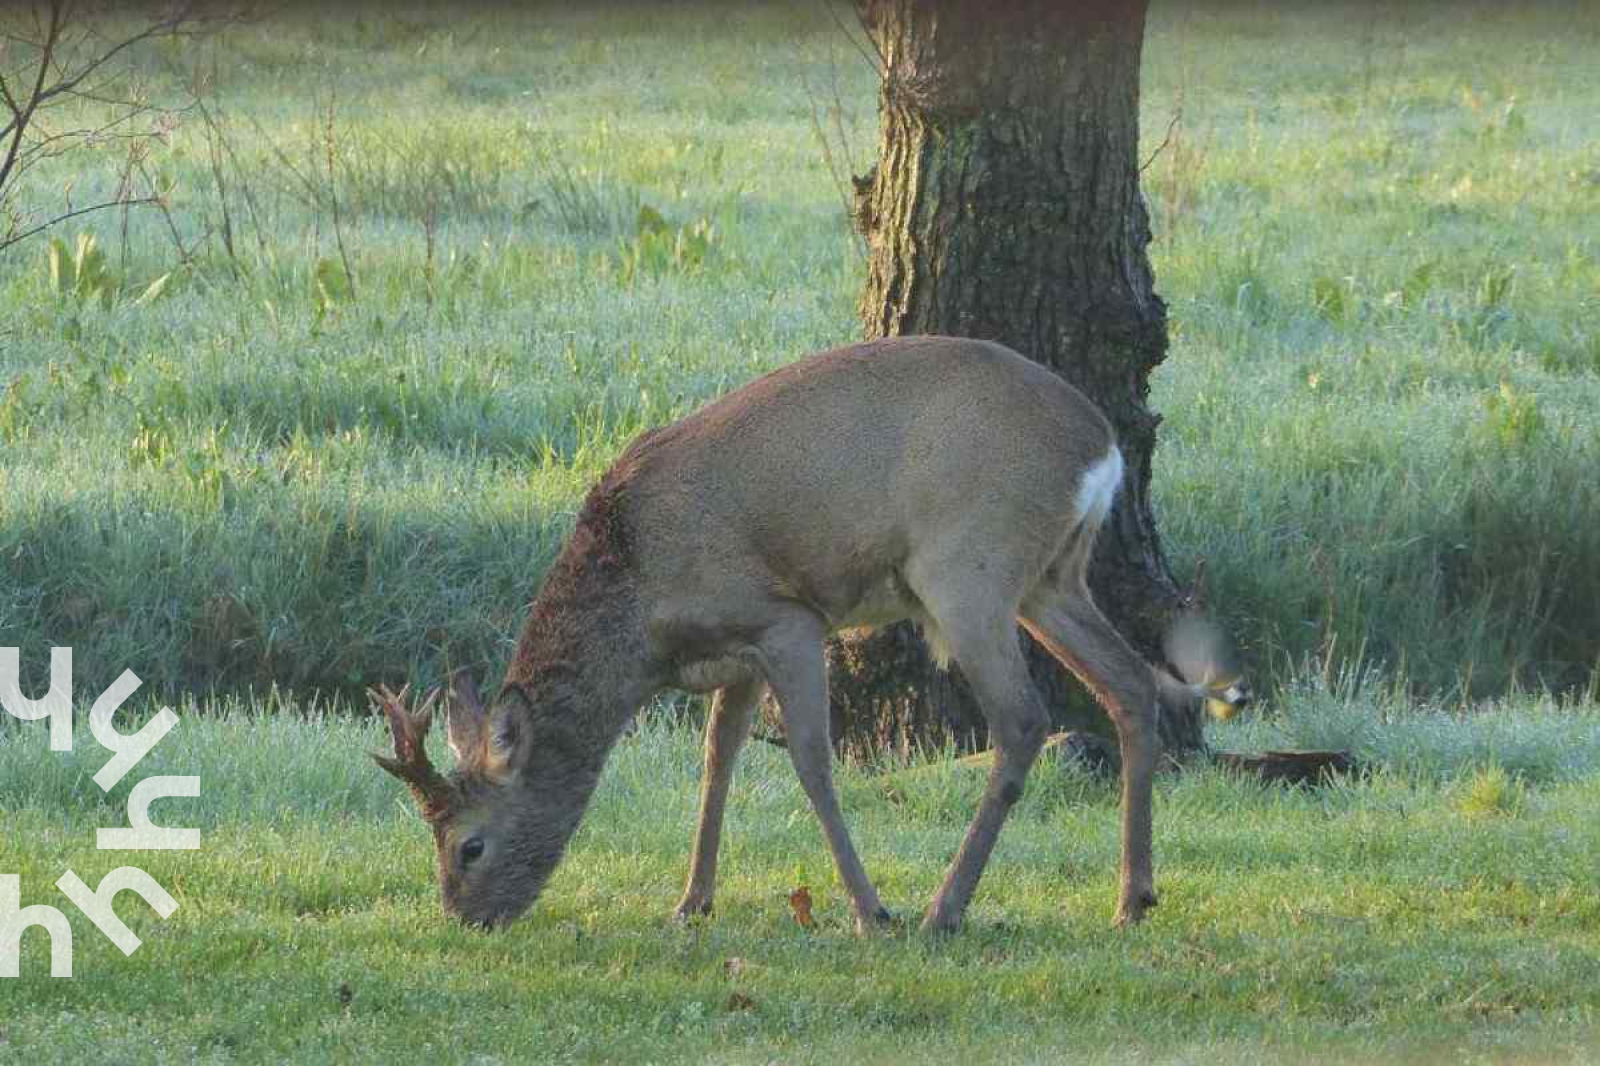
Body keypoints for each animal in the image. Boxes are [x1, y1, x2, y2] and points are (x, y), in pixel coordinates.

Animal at [371, 334, 1222, 928]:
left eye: (469, 844)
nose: (467, 918)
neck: (636, 597)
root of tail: (1102, 448)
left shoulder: (786, 616)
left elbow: (812, 761)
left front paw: (868, 909)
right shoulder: (735, 653)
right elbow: (717, 757)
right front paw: (692, 901)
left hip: (968, 567)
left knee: (1023, 719)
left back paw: (943, 909)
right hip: (1050, 578)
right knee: (1131, 683)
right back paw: (1133, 897)